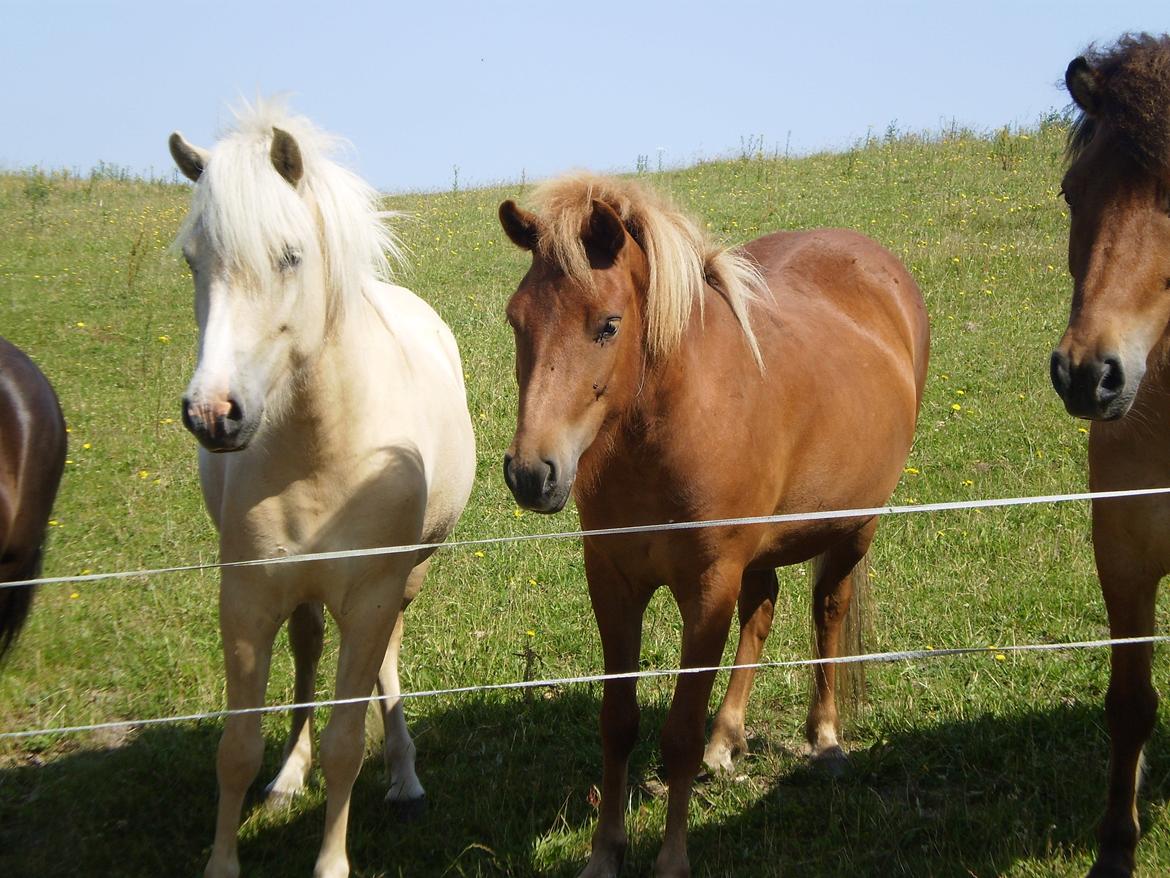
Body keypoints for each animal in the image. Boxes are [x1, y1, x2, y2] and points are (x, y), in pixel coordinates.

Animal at [168, 104, 475, 878]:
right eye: (194, 260)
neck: (323, 446)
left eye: (290, 256)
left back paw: (404, 778)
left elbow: (346, 745)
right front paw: (226, 856)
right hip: (302, 591)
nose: (213, 414)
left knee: (385, 660)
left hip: (404, 577)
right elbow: (236, 747)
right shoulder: (247, 597)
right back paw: (288, 777)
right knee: (309, 649)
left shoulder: (370, 594)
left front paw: (333, 860)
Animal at [498, 173, 926, 878]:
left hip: (852, 531)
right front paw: (606, 853)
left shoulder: (706, 589)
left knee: (827, 612)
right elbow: (618, 723)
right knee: (763, 607)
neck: (673, 421)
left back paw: (826, 740)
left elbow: (676, 733)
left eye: (608, 325)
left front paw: (671, 859)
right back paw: (726, 739)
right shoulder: (613, 582)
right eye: (516, 319)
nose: (533, 474)